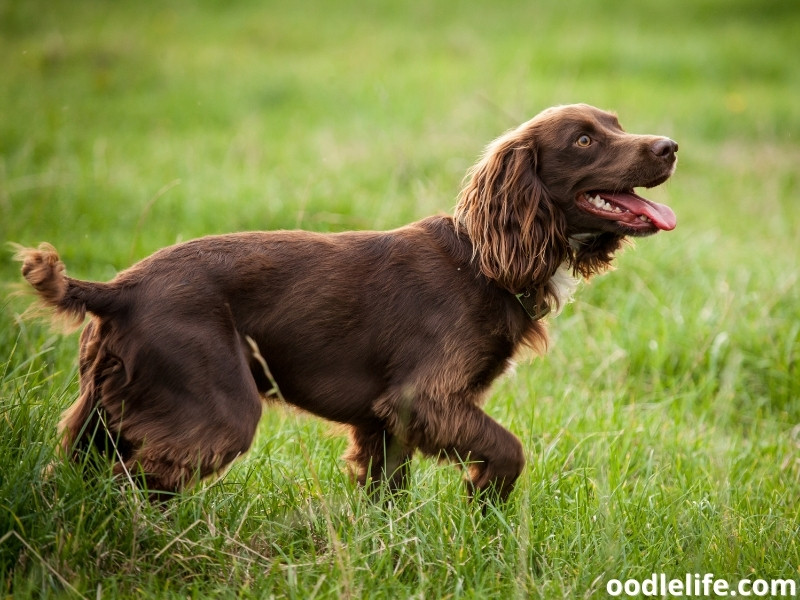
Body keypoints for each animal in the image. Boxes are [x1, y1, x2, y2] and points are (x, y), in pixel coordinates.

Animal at [17, 104, 676, 502]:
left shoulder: (385, 422)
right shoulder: (424, 399)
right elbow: (510, 449)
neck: (483, 260)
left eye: (616, 123)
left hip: (103, 412)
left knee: (74, 474)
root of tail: (118, 289)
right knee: (132, 484)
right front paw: (483, 501)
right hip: (215, 410)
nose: (670, 146)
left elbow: (388, 495)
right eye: (585, 139)